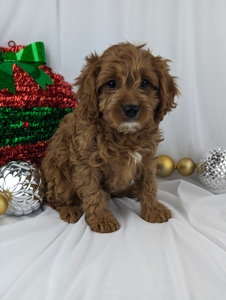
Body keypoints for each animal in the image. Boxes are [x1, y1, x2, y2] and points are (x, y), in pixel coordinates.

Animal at [40, 42, 179, 233]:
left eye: (144, 83)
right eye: (111, 84)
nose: (131, 109)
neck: (124, 134)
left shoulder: (146, 159)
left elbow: (149, 185)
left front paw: (153, 209)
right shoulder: (86, 163)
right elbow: (93, 193)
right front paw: (101, 219)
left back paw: (130, 189)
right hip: (58, 176)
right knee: (52, 198)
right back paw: (69, 209)